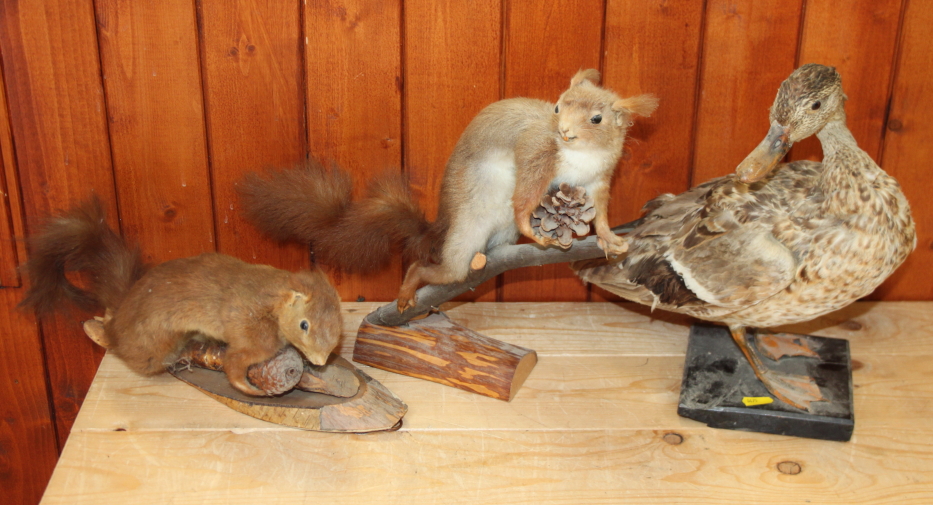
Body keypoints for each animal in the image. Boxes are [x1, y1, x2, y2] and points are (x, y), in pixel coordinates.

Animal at [19, 197, 342, 394]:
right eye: (304, 324)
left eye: (338, 329)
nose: (321, 359)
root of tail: (121, 310)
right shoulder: (251, 333)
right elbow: (234, 364)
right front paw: (250, 388)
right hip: (149, 347)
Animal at [238, 68, 656, 312]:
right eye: (557, 107)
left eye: (597, 119)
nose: (565, 132)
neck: (581, 155)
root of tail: (441, 227)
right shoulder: (536, 153)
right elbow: (525, 194)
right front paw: (533, 230)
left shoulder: (598, 181)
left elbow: (601, 214)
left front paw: (607, 238)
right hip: (462, 236)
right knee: (432, 268)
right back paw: (408, 288)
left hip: (493, 238)